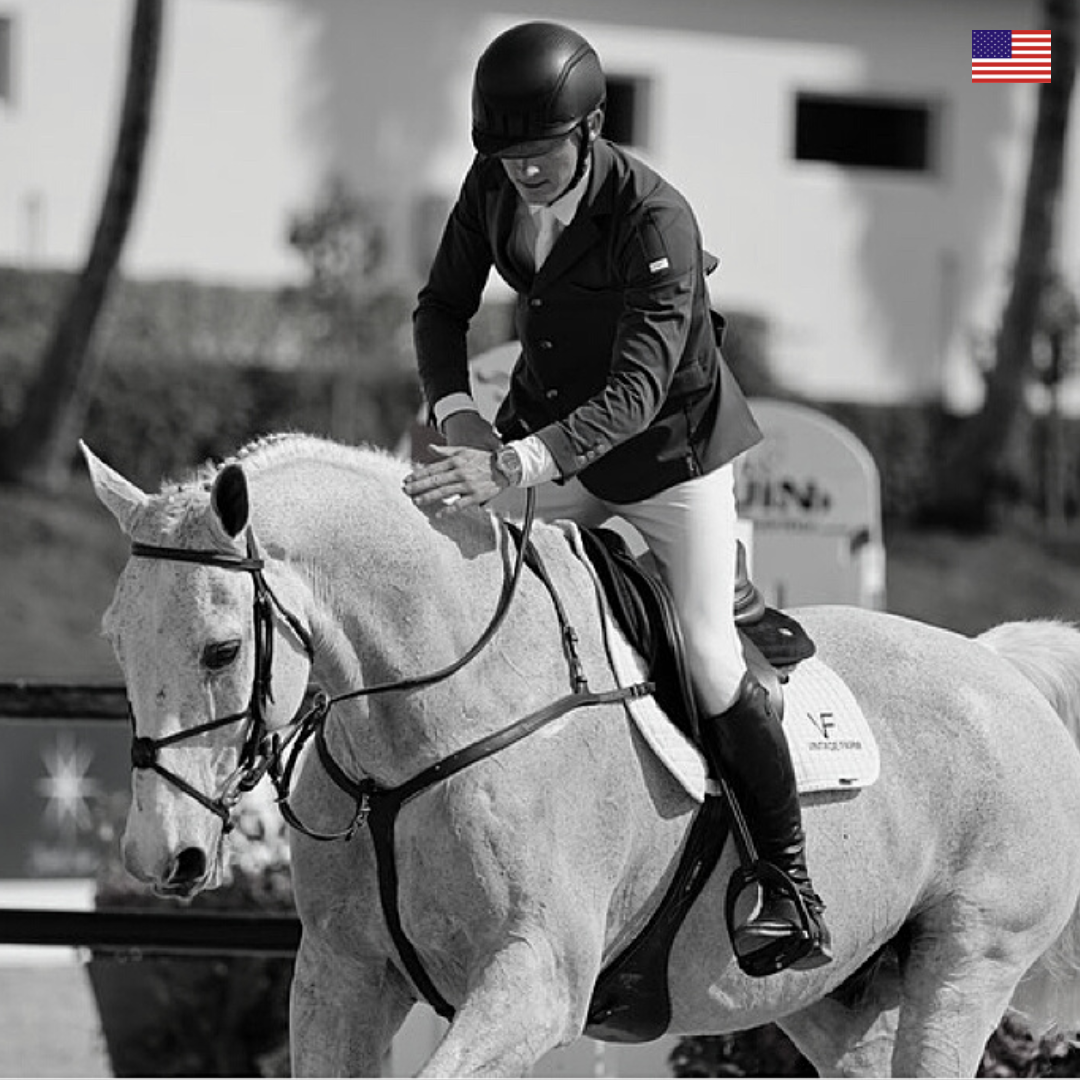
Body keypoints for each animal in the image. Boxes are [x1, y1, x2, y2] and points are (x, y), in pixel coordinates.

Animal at [80, 432, 1080, 1078]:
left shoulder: (534, 981)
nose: (160, 857)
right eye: (115, 644)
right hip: (838, 999)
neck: (412, 736)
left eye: (220, 651)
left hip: (966, 965)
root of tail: (1003, 668)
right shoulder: (342, 976)